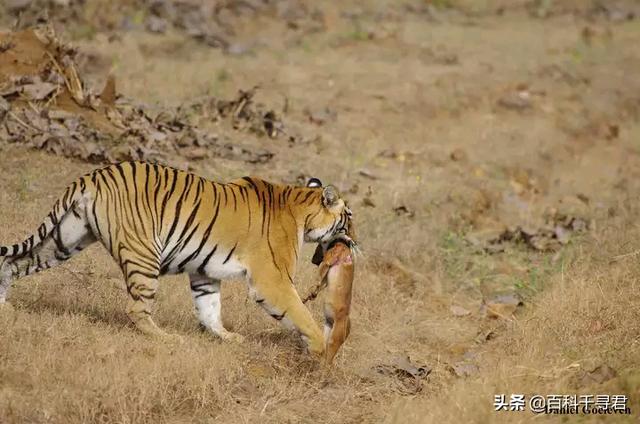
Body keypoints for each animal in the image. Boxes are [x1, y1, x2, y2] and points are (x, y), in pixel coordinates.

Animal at [0, 161, 352, 355]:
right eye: (349, 218)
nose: (355, 242)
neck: (300, 208)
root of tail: (95, 175)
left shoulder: (205, 272)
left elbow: (209, 308)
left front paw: (227, 338)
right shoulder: (272, 280)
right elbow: (299, 312)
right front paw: (320, 348)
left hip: (64, 239)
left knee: (14, 262)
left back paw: (5, 306)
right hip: (143, 255)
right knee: (136, 309)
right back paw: (168, 339)